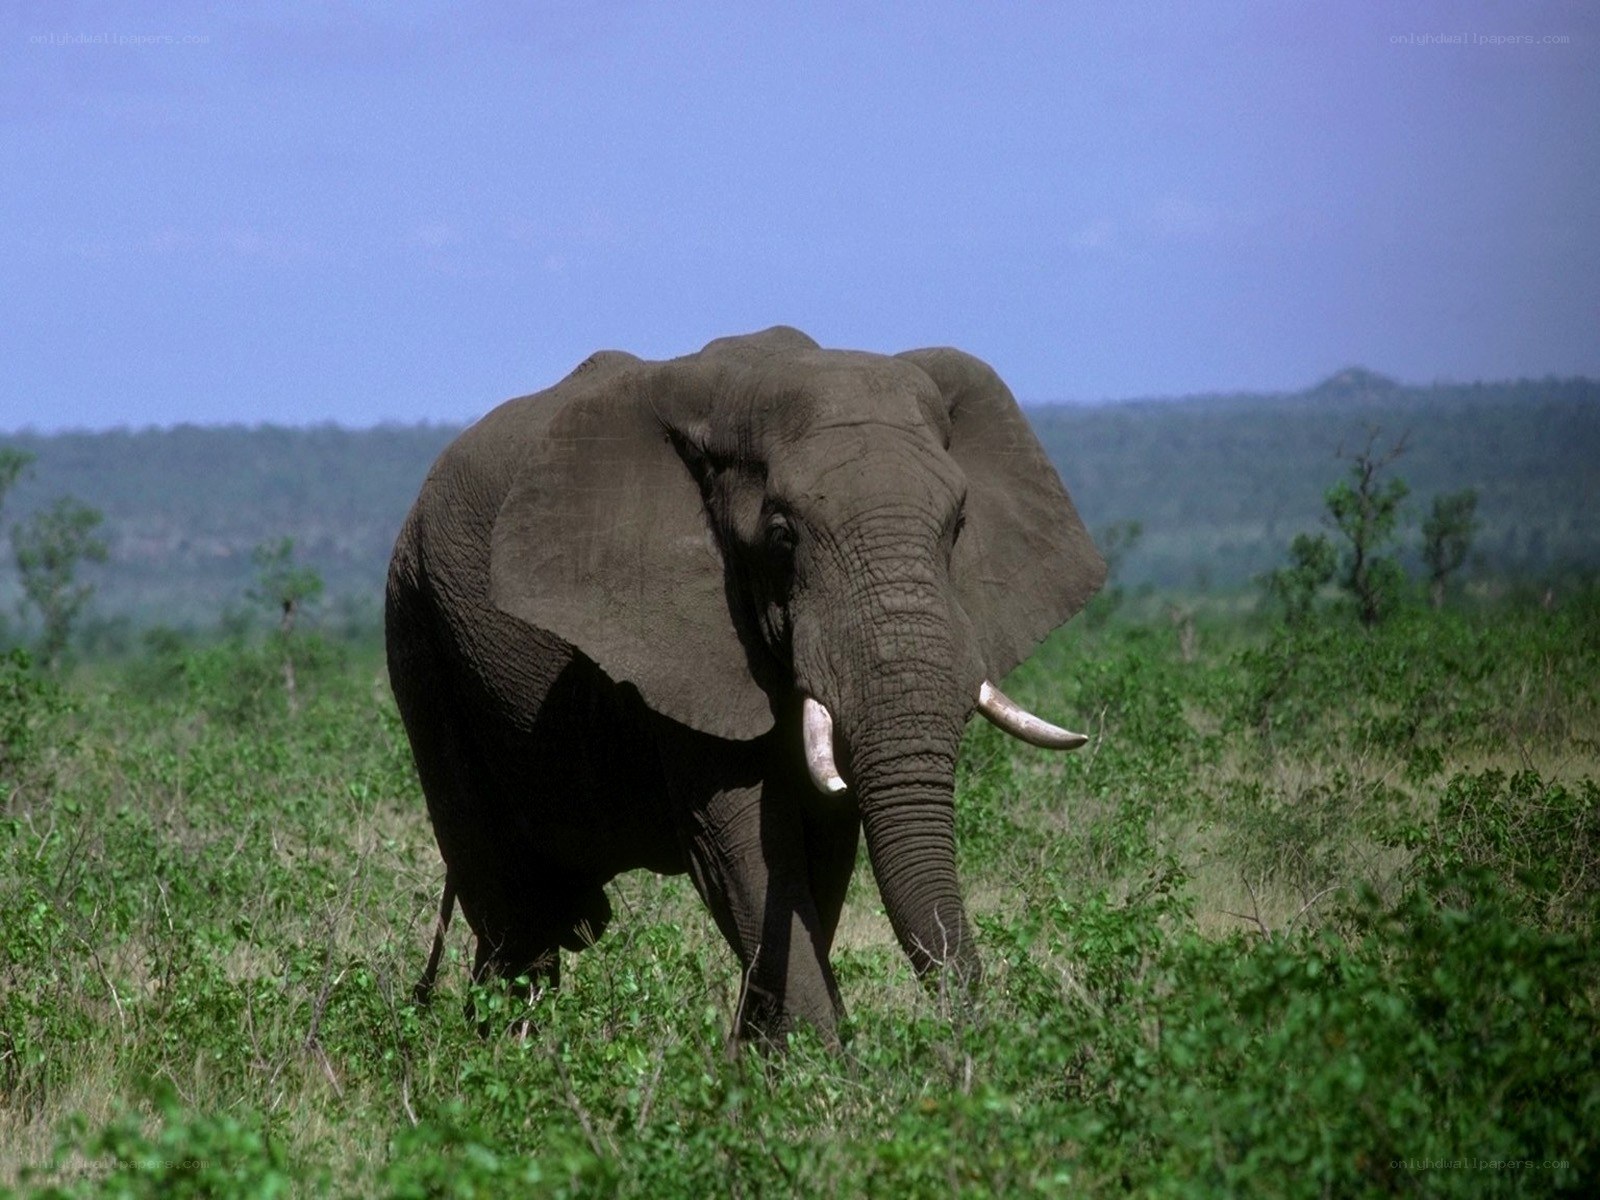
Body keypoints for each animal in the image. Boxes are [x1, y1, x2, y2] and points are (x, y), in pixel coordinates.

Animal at [387, 326, 1105, 1046]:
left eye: (958, 526)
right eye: (782, 538)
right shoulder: (682, 640)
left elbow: (821, 850)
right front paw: (823, 1066)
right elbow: (745, 849)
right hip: (421, 632)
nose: (974, 1042)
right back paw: (503, 1059)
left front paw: (763, 1062)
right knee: (512, 908)